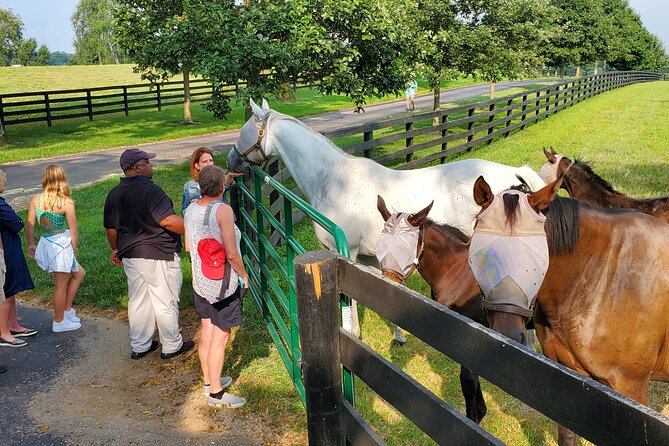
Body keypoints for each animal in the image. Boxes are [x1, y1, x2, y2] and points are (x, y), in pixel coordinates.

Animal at [228, 98, 546, 341]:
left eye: (243, 131)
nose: (230, 160)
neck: (335, 180)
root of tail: (514, 175)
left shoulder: (347, 252)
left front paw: (354, 334)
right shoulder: (371, 256)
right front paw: (398, 334)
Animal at [378, 180, 669, 445]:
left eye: (405, 246)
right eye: (381, 244)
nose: (386, 286)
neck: (455, 271)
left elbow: (468, 381)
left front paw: (475, 419)